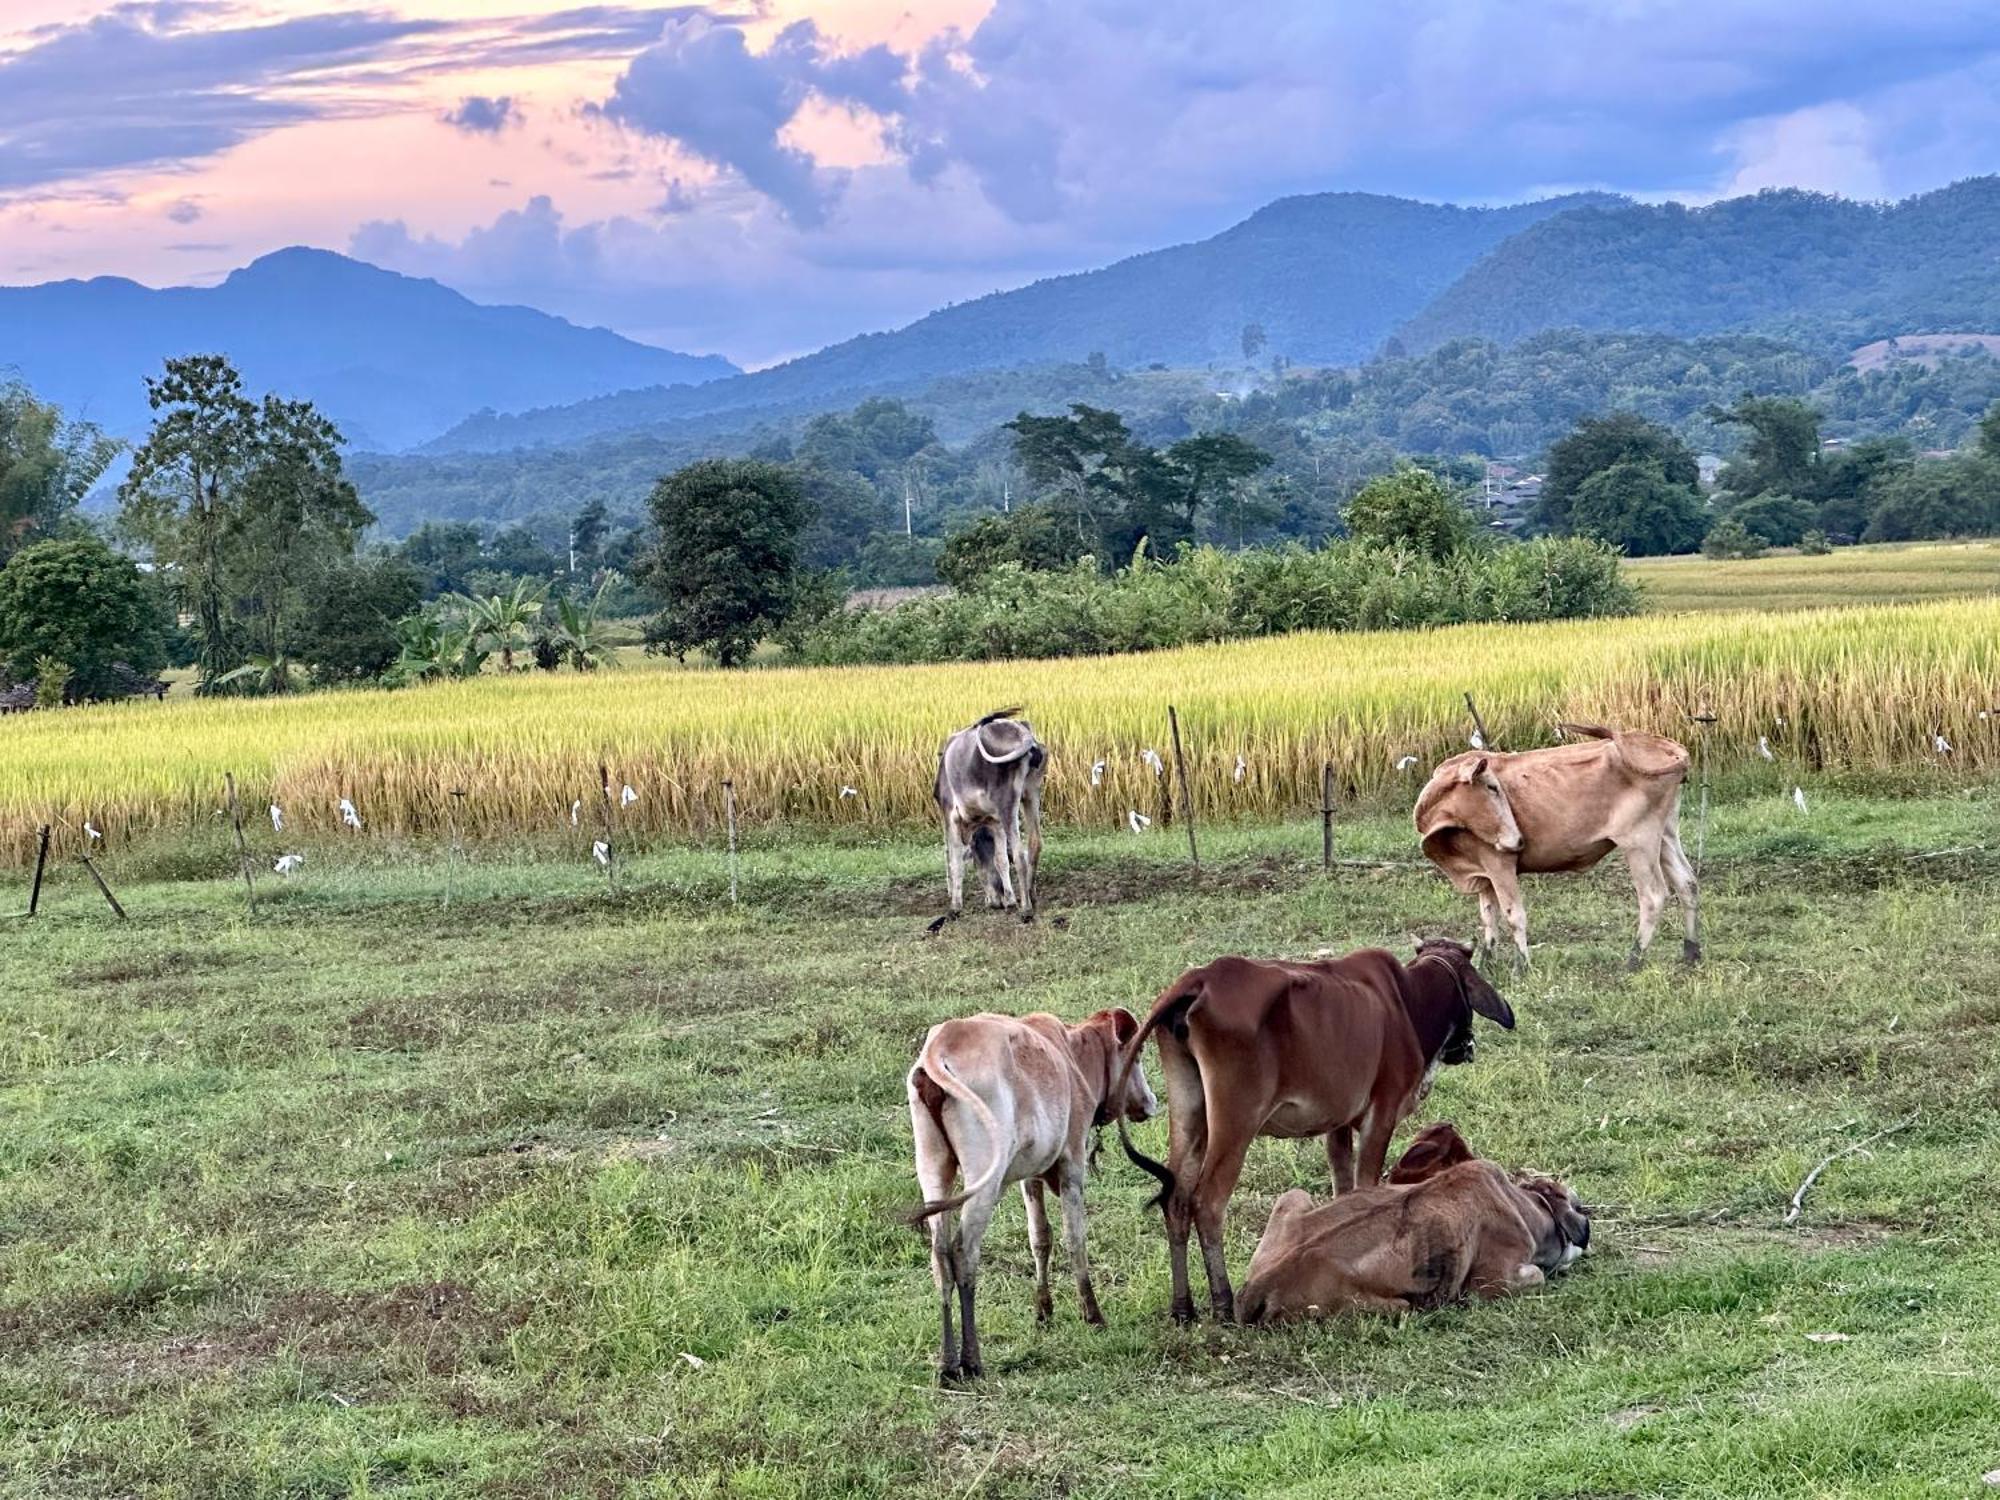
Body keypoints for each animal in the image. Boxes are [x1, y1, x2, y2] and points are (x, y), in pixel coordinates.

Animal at [908, 1012, 1160, 1384]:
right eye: (1138, 1053)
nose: (1150, 1102)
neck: (1073, 1057)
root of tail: (941, 1045)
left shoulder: (1031, 1177)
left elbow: (1040, 1238)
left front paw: (1043, 1311)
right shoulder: (1072, 1164)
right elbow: (1074, 1239)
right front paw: (1093, 1314)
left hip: (933, 1167)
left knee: (940, 1256)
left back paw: (947, 1364)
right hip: (984, 1176)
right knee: (963, 1252)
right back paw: (971, 1360)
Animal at [940, 712, 1056, 924]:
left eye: (977, 861)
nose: (995, 901)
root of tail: (1026, 736)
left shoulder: (950, 814)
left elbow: (954, 860)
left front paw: (955, 907)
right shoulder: (994, 822)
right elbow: (1000, 858)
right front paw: (1010, 900)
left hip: (1007, 802)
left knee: (1019, 854)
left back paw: (1026, 909)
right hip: (1031, 793)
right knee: (1034, 843)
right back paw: (1031, 897)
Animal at [1112, 940, 1512, 1328]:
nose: (1467, 1046)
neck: (1408, 1001)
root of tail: (1200, 979)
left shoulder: (1337, 1126)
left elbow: (1344, 1189)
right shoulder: (1380, 1117)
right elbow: (1366, 1183)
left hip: (1190, 1112)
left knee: (1176, 1199)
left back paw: (1183, 1309)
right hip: (1236, 1121)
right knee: (1207, 1203)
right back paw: (1223, 1304)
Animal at [1232, 1128, 1592, 1328]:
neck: (1523, 1203)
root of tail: (1258, 1286)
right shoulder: (1493, 1282)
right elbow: (1537, 1274)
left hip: (1294, 1196)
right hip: (1400, 1306)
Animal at [1408, 724, 1704, 968]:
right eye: (1492, 787)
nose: (1519, 840)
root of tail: (1667, 748)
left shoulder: (1499, 863)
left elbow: (1513, 915)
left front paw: (1521, 966)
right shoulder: (1483, 870)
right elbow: (1488, 916)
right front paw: (1486, 963)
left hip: (1639, 841)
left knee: (1653, 896)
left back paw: (1634, 958)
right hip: (1665, 835)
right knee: (1687, 883)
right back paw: (1691, 952)